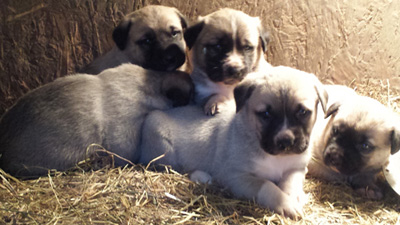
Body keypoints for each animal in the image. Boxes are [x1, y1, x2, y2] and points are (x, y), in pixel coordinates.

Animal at [140, 65, 328, 218]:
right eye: (265, 114)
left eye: (303, 112)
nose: (286, 142)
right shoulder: (236, 177)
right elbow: (266, 185)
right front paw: (286, 204)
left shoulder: (297, 168)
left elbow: (290, 184)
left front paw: (293, 197)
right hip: (162, 144)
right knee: (177, 168)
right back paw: (202, 176)